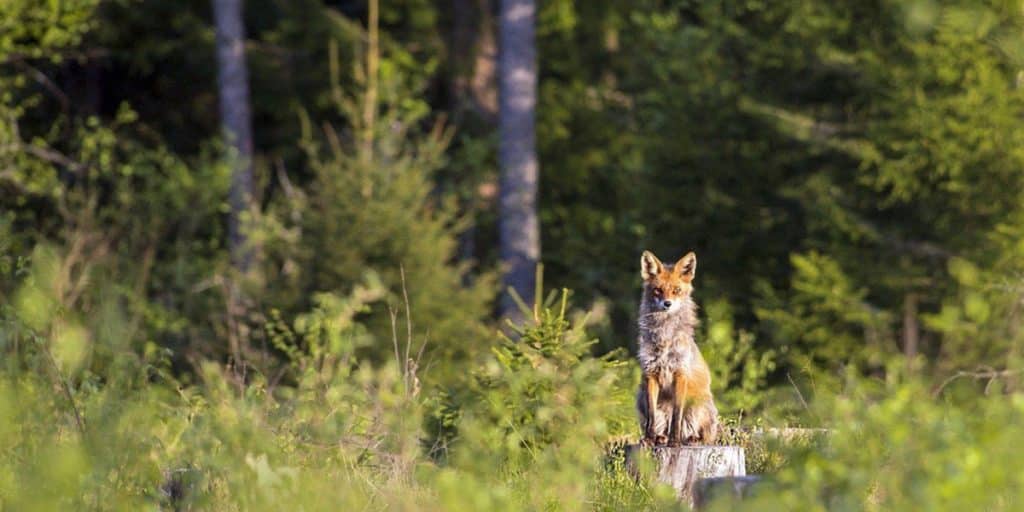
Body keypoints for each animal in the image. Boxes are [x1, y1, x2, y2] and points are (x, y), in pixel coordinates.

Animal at [636, 250, 719, 446]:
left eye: (676, 291)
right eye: (658, 290)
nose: (667, 304)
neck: (665, 339)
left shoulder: (680, 374)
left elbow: (677, 416)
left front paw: (674, 442)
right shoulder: (651, 374)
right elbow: (651, 417)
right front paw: (649, 439)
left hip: (699, 403)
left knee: (704, 435)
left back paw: (690, 438)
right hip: (640, 396)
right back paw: (660, 438)